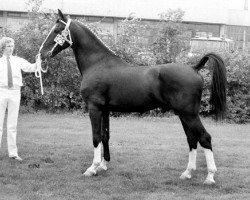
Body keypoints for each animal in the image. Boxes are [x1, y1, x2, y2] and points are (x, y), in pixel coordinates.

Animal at [39, 9, 227, 184]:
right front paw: (103, 165)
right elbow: (105, 136)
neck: (97, 63)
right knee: (192, 139)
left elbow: (96, 137)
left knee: (204, 138)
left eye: (56, 30)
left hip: (189, 114)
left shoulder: (94, 108)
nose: (42, 54)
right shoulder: (105, 110)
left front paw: (92, 168)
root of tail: (194, 68)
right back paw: (187, 173)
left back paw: (210, 177)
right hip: (183, 115)